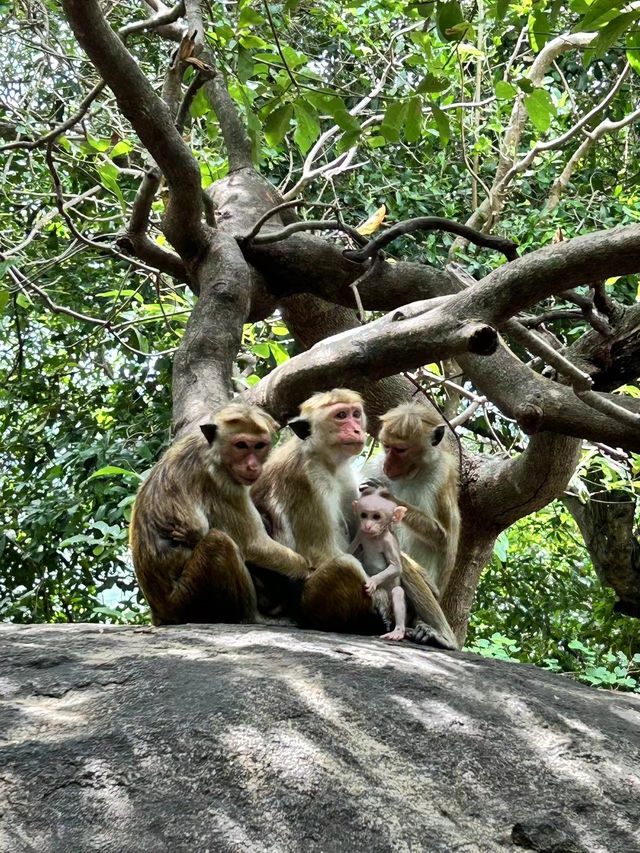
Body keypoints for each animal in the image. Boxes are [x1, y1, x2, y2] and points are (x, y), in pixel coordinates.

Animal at [129, 400, 312, 624]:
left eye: (259, 446)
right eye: (241, 445)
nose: (252, 466)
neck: (213, 451)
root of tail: (160, 612)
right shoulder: (222, 483)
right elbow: (253, 544)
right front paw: (306, 570)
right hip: (188, 600)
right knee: (218, 542)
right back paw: (251, 616)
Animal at [348, 492, 408, 640]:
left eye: (376, 517)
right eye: (364, 515)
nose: (368, 526)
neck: (374, 537)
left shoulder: (389, 541)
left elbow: (396, 567)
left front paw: (372, 581)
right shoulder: (361, 533)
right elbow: (349, 551)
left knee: (397, 592)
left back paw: (397, 631)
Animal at [362, 402, 462, 596]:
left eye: (400, 450)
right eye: (386, 446)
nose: (387, 465)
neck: (412, 473)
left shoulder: (441, 476)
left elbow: (444, 538)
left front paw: (386, 496)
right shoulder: (376, 466)